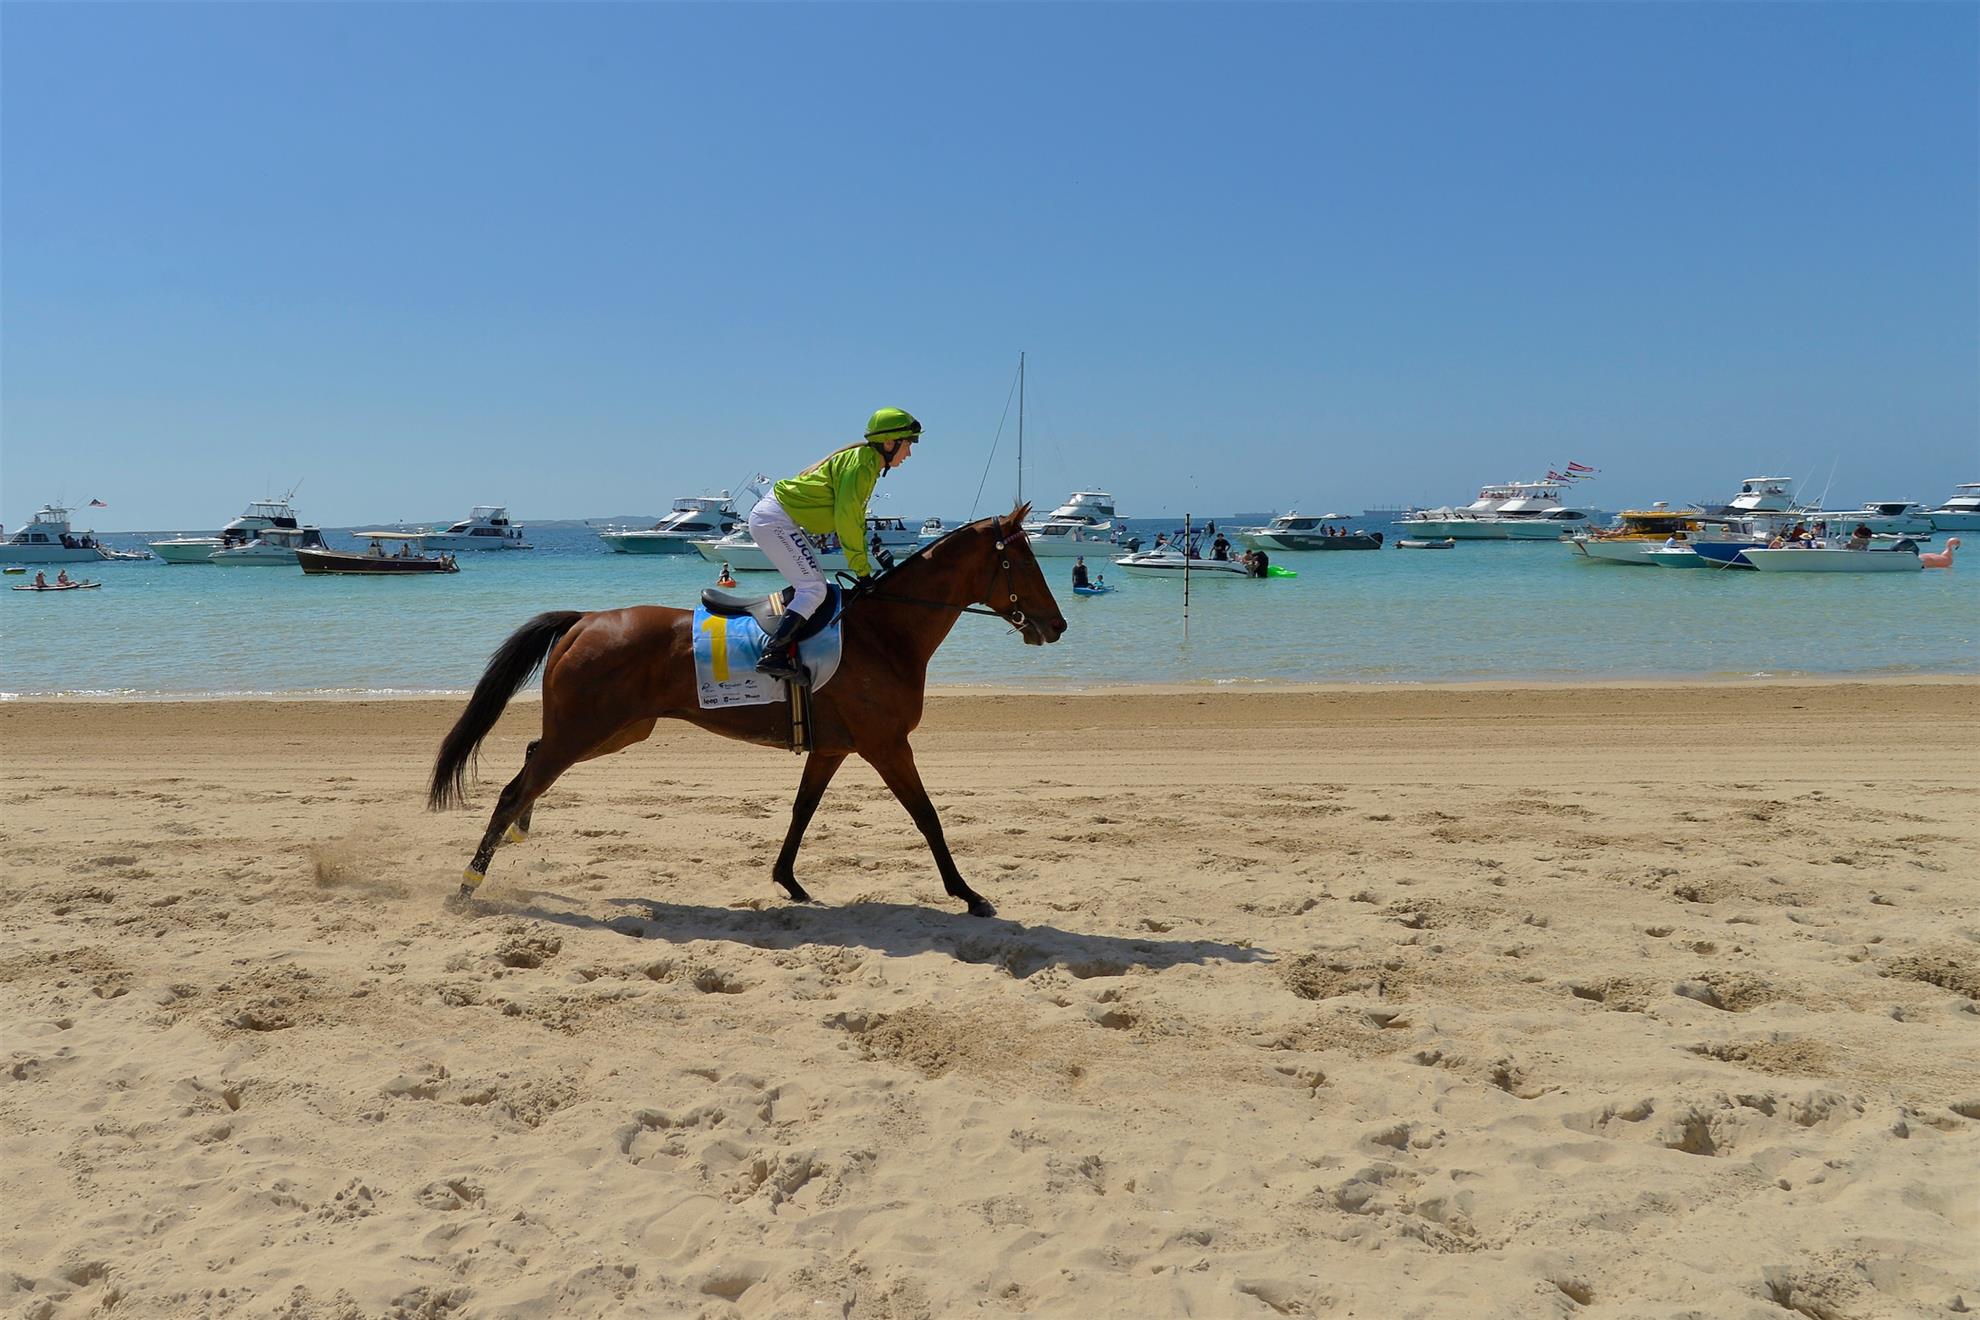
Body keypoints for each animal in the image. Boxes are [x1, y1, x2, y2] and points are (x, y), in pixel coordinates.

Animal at [429, 507, 1067, 917]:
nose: (1057, 625)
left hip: (616, 730)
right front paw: (969, 894)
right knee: (517, 786)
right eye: (1025, 562)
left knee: (533, 760)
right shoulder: (886, 745)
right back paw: (467, 885)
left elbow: (803, 811)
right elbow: (928, 816)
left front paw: (789, 882)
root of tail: (584, 619)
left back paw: (516, 835)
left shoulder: (834, 747)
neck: (886, 632)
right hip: (590, 728)